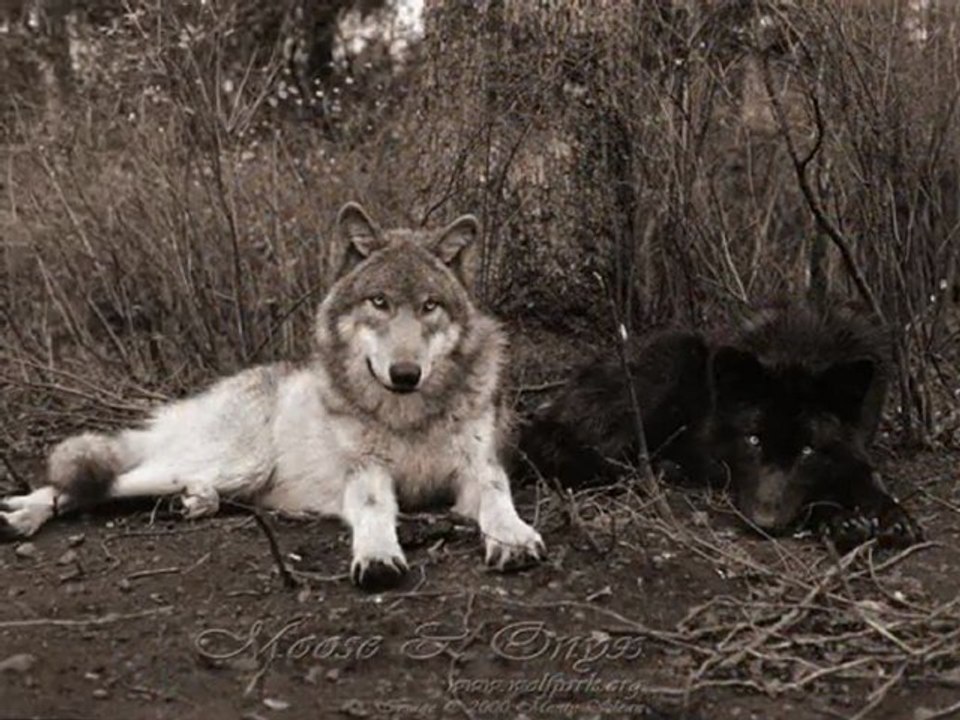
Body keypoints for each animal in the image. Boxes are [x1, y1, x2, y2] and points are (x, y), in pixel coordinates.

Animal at [0, 202, 545, 590]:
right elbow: (374, 508)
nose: (406, 373)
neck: (406, 414)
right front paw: (376, 555)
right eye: (379, 302)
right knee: (93, 482)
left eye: (430, 306)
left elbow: (497, 497)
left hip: (237, 477)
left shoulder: (477, 469)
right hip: (233, 462)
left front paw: (514, 537)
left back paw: (194, 502)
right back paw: (22, 515)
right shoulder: (366, 472)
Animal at [520, 302, 920, 550]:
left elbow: (868, 477)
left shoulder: (858, 447)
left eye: (808, 450)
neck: (801, 350)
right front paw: (840, 518)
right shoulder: (721, 467)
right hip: (674, 357)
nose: (763, 522)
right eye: (753, 440)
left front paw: (892, 515)